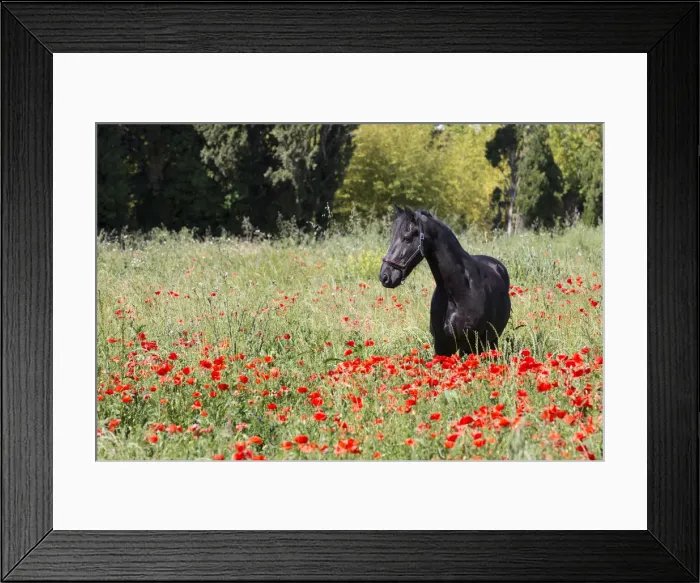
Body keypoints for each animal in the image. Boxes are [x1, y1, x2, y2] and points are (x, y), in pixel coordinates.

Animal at [379, 205, 511, 357]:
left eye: (407, 238)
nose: (385, 276)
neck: (460, 291)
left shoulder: (473, 344)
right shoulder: (442, 345)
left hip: (490, 341)